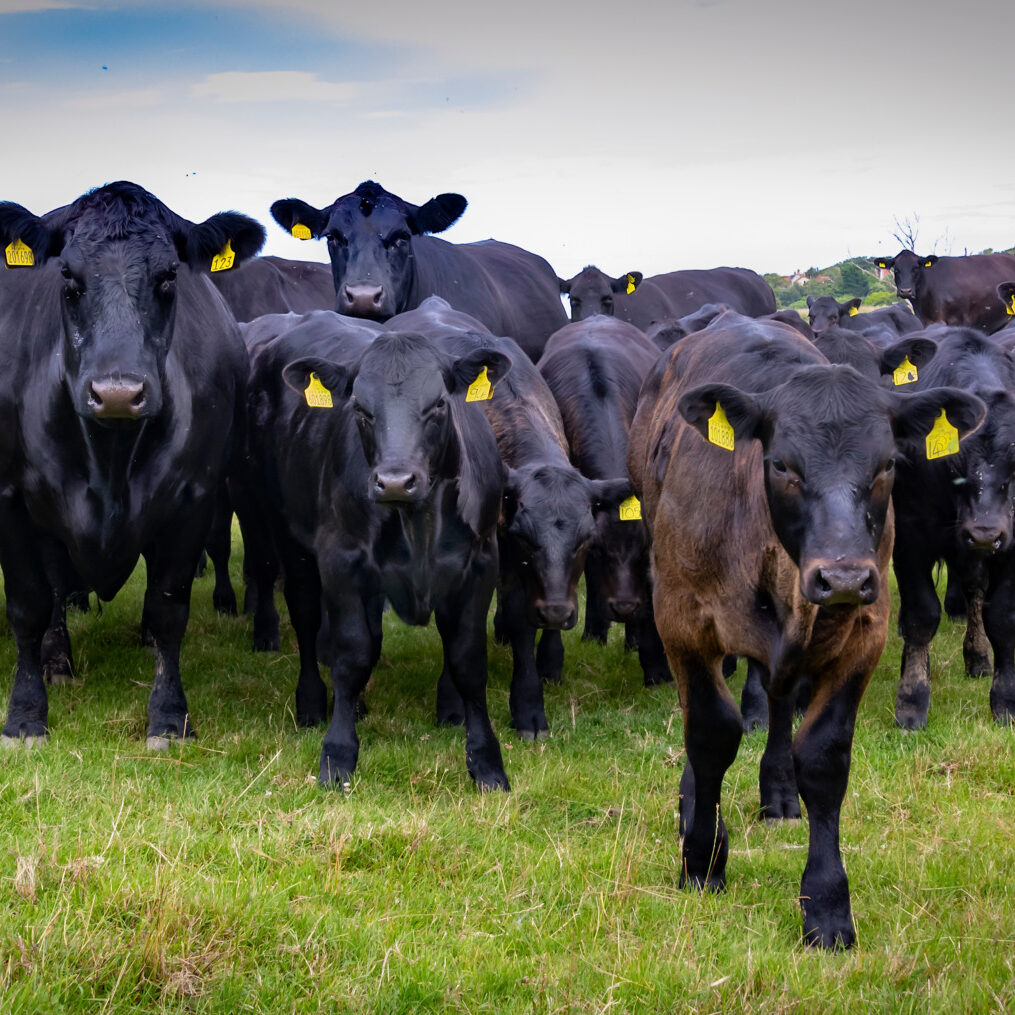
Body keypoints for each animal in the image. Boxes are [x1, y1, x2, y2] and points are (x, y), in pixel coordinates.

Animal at [0, 180, 263, 747]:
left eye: (168, 277)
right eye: (67, 277)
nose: (117, 392)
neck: (109, 460)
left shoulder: (193, 498)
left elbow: (169, 608)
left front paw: (168, 715)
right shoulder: (10, 496)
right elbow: (29, 604)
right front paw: (25, 715)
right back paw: (57, 660)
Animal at [243, 312, 512, 789]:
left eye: (439, 404)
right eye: (360, 410)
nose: (395, 481)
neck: (418, 524)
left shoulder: (481, 565)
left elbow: (468, 661)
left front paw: (487, 764)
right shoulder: (341, 560)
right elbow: (352, 654)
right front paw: (337, 755)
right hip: (285, 532)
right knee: (307, 618)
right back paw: (313, 702)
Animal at [385, 298, 632, 738]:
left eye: (586, 541)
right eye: (525, 537)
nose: (557, 612)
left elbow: (527, 620)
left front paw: (545, 670)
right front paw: (461, 702)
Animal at [627, 315, 983, 947]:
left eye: (887, 465)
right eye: (782, 465)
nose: (842, 575)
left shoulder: (863, 634)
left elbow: (823, 758)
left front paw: (827, 905)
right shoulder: (682, 620)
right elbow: (710, 733)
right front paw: (702, 859)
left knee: (776, 698)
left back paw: (777, 790)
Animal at [890, 326, 1015, 729]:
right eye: (955, 458)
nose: (985, 533)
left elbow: (1001, 616)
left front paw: (1005, 700)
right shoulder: (910, 537)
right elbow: (921, 615)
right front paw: (912, 699)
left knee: (975, 591)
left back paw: (978, 656)